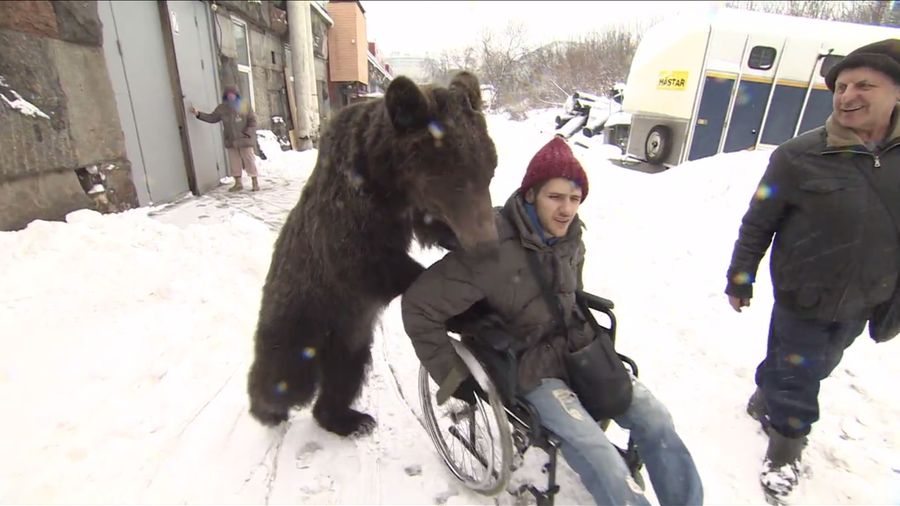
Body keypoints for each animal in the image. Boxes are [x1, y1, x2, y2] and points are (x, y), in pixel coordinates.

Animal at [246, 70, 500, 434]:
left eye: (490, 170)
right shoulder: (349, 211)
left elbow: (433, 230)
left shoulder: (412, 210)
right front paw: (474, 310)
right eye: (456, 180)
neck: (390, 183)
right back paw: (267, 409)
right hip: (299, 315)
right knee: (285, 375)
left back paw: (348, 418)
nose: (487, 244)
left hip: (352, 336)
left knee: (346, 374)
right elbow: (365, 260)